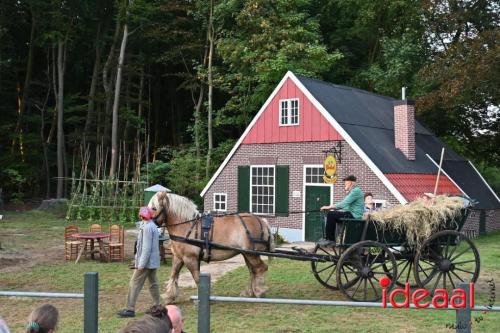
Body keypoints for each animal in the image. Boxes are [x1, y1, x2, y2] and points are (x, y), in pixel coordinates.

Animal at [146, 191, 276, 302]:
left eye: (154, 208)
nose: (145, 221)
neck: (186, 225)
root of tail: (262, 221)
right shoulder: (178, 257)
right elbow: (174, 274)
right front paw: (170, 296)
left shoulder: (190, 259)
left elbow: (197, 278)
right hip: (247, 254)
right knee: (252, 271)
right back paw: (250, 292)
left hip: (251, 253)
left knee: (260, 268)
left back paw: (259, 291)